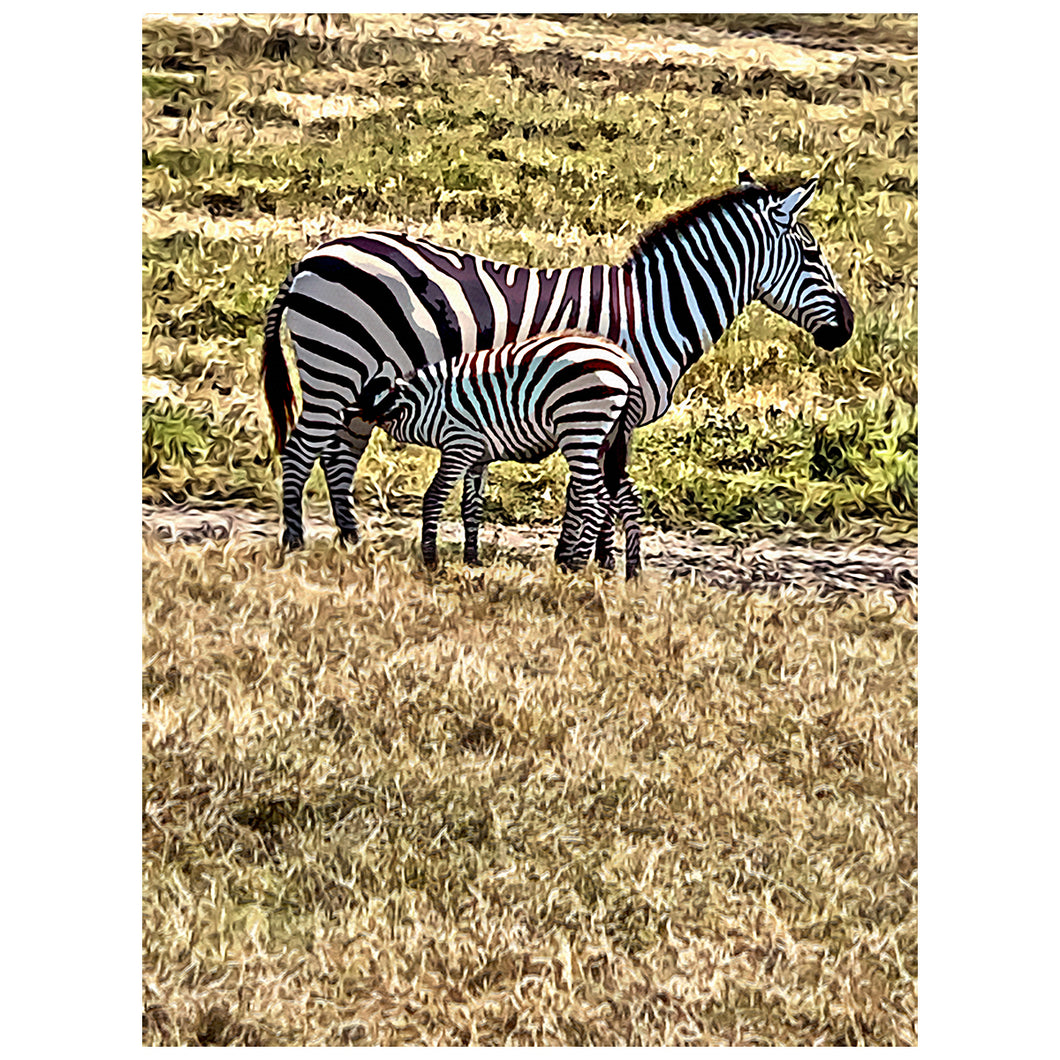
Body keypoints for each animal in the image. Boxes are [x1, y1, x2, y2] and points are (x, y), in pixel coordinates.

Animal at [265, 167, 852, 546]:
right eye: (813, 254)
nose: (846, 328)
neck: (653, 308)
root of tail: (310, 258)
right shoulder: (600, 408)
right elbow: (598, 495)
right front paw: (584, 562)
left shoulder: (607, 414)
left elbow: (604, 494)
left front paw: (593, 563)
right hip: (333, 369)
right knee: (300, 454)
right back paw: (295, 544)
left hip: (361, 385)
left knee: (339, 458)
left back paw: (352, 542)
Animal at [354, 332, 644, 576]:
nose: (348, 416)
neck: (426, 407)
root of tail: (626, 367)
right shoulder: (477, 457)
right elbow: (471, 507)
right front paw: (471, 559)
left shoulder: (459, 445)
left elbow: (433, 497)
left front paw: (430, 559)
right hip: (609, 440)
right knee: (628, 497)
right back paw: (632, 571)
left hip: (580, 428)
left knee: (597, 500)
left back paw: (575, 567)